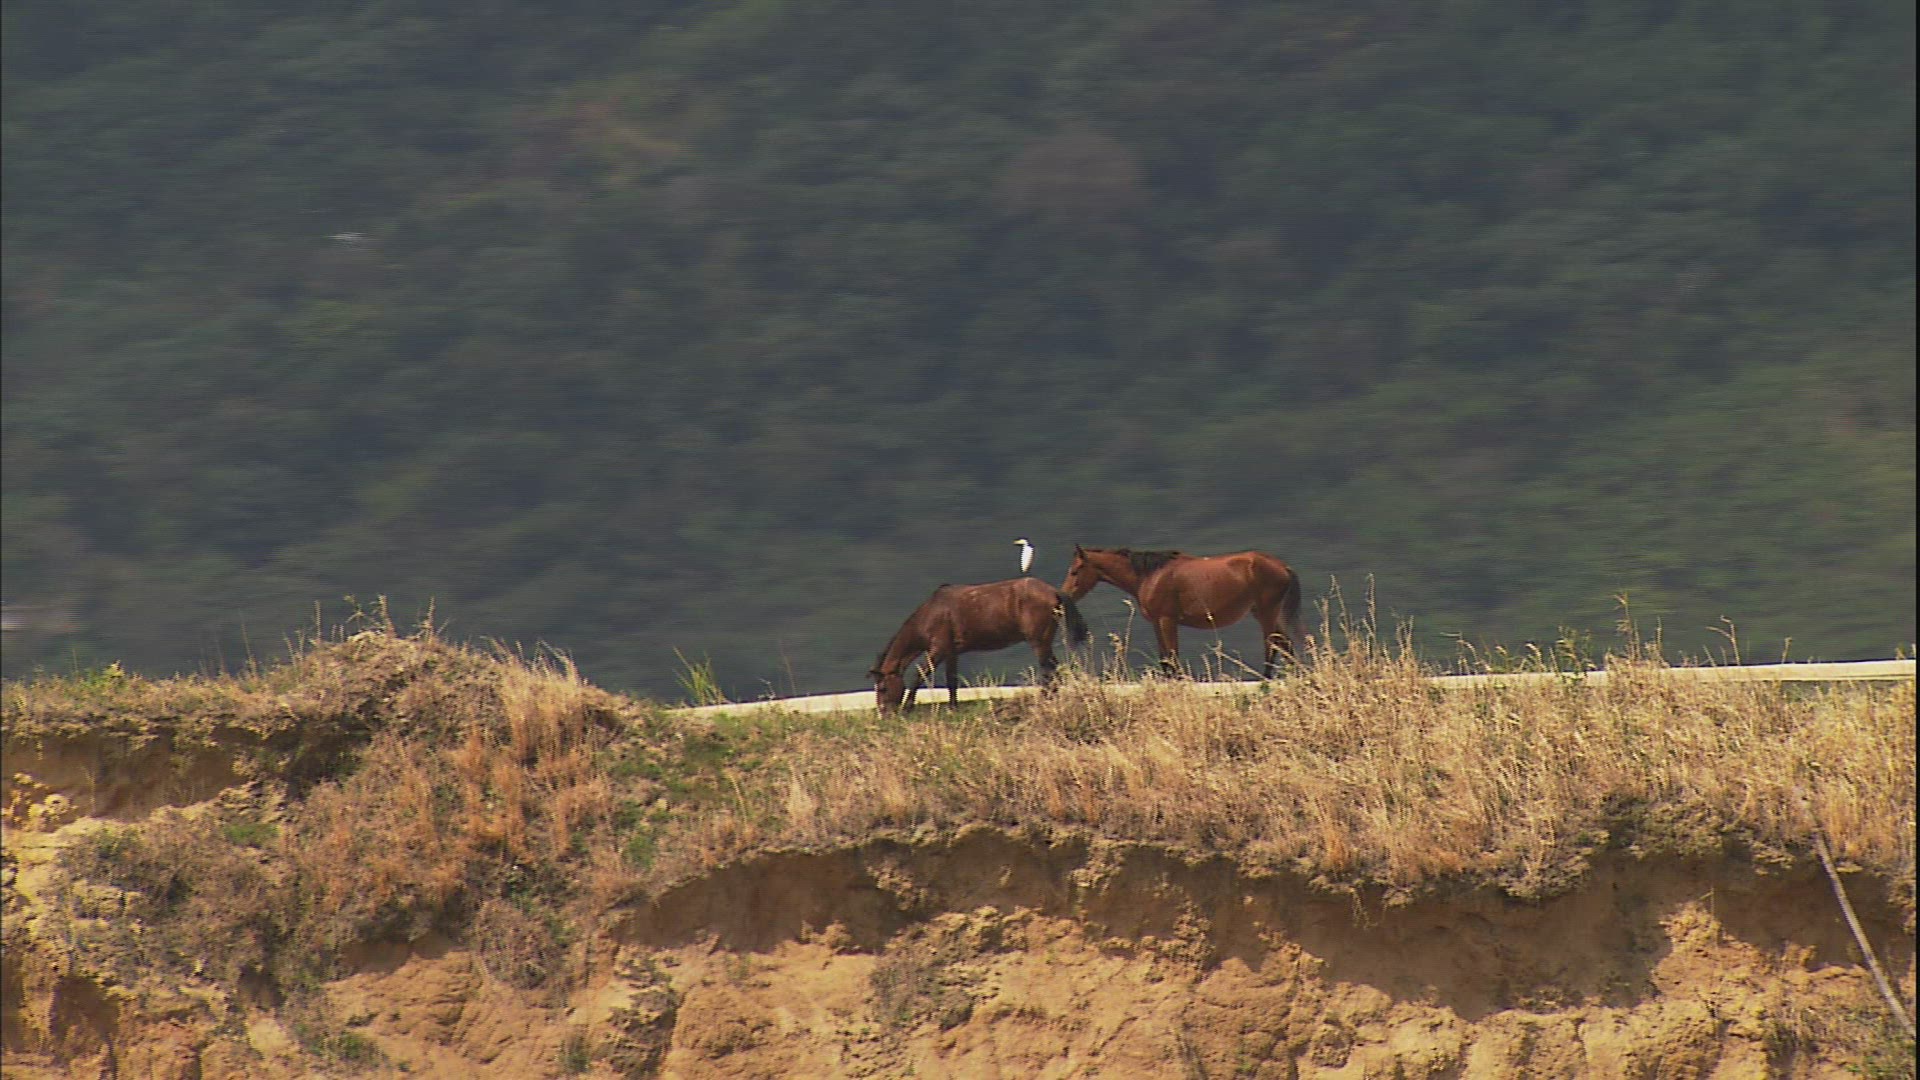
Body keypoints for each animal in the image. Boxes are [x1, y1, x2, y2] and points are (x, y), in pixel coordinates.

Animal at [869, 577, 1091, 712]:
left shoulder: (938, 650)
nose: (884, 714)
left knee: (1050, 671)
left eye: (883, 688)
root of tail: (1053, 591)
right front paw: (953, 707)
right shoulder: (951, 652)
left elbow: (921, 674)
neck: (932, 612)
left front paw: (908, 706)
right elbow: (951, 680)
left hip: (1039, 641)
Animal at [1061, 545, 1304, 678]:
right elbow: (1165, 659)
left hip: (1266, 613)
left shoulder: (1167, 620)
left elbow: (1173, 657)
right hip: (1266, 613)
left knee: (1272, 644)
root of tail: (1282, 566)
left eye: (1075, 571)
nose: (1064, 596)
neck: (1150, 575)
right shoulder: (1157, 622)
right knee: (1285, 645)